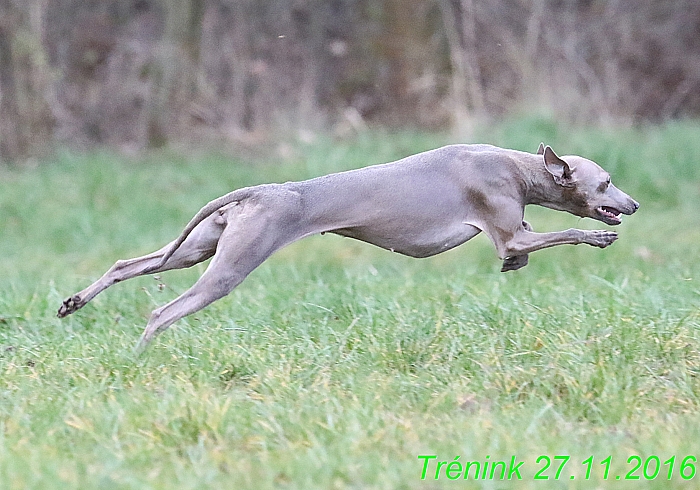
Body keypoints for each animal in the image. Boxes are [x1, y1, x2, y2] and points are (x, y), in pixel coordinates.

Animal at [58, 142, 640, 348]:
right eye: (607, 182)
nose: (632, 205)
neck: (518, 168)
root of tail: (254, 192)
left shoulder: (512, 234)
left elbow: (523, 250)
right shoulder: (509, 230)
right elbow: (560, 233)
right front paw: (598, 235)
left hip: (197, 249)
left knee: (126, 263)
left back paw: (73, 303)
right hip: (228, 268)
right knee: (161, 312)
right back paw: (139, 358)